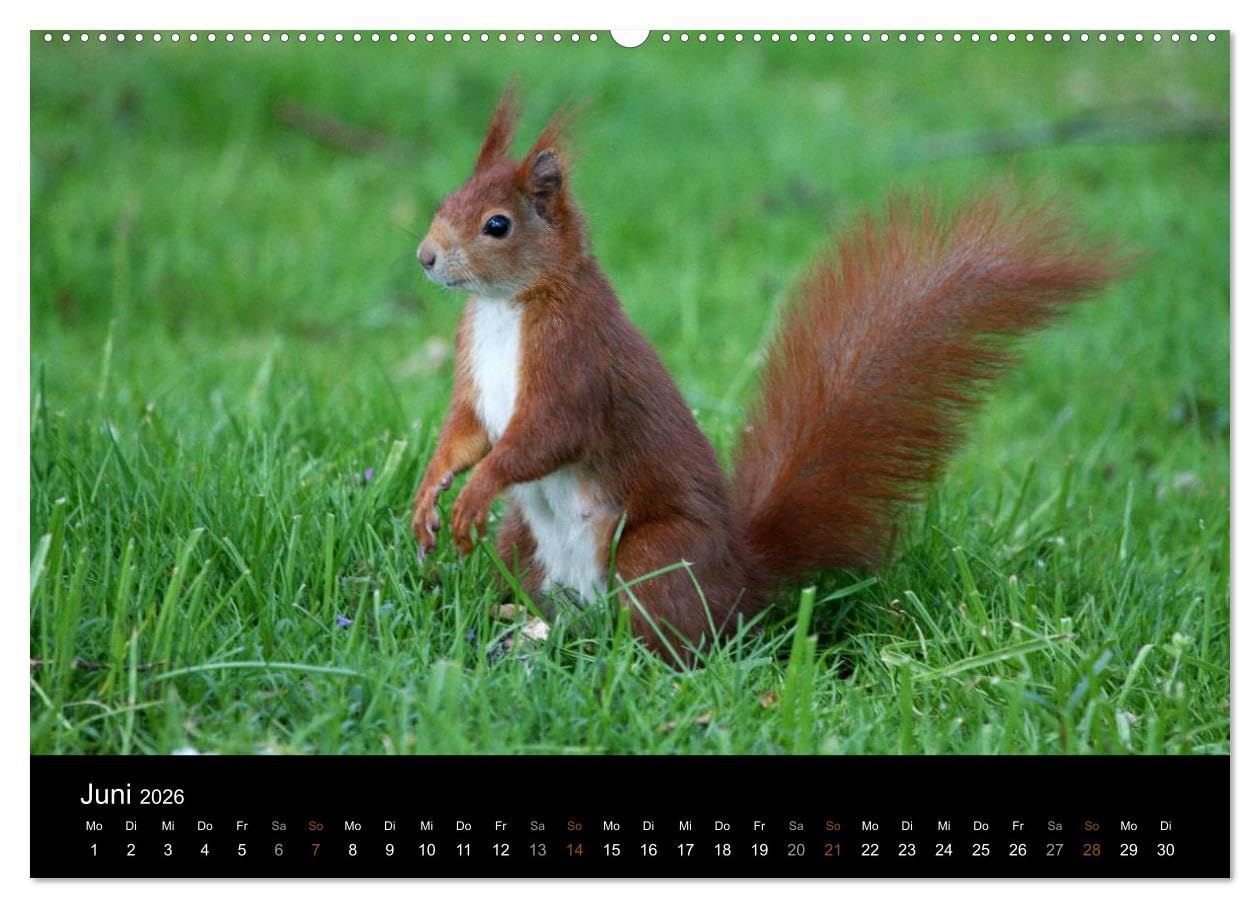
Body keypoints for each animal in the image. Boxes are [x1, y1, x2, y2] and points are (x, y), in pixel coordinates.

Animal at [411, 87, 1119, 663]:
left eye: (496, 225)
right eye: (445, 201)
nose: (425, 257)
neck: (507, 307)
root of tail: (740, 577)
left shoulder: (575, 360)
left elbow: (545, 435)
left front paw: (478, 488)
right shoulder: (475, 372)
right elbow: (467, 430)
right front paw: (431, 493)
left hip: (653, 554)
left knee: (670, 638)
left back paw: (623, 661)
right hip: (522, 541)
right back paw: (517, 621)